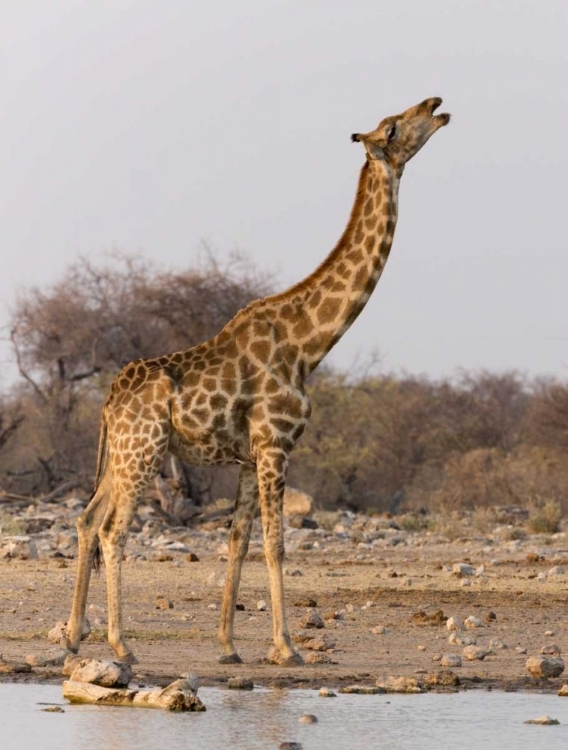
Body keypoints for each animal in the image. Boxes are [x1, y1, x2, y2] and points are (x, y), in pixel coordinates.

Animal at [64, 97, 450, 668]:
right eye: (394, 128)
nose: (436, 105)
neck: (309, 344)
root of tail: (109, 402)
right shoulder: (275, 444)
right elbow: (277, 542)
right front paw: (286, 646)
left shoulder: (249, 456)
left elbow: (238, 540)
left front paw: (228, 645)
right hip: (145, 451)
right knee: (114, 530)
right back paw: (120, 643)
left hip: (121, 454)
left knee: (88, 518)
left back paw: (73, 634)